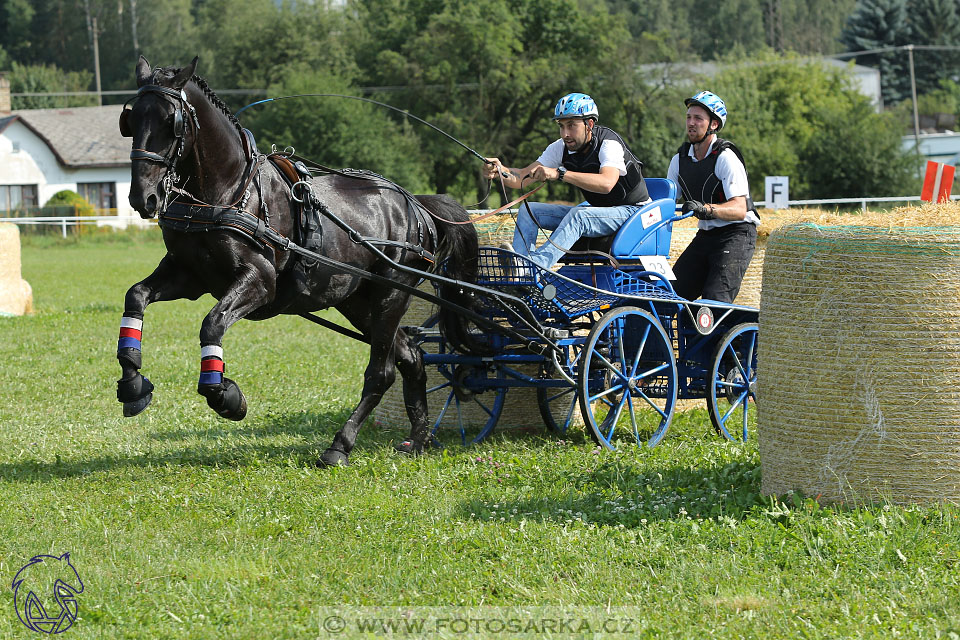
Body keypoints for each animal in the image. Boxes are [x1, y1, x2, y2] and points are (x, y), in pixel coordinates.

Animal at [116, 57, 480, 468]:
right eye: (131, 119)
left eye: (170, 121)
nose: (142, 197)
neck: (228, 193)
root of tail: (415, 204)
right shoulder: (189, 275)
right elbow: (136, 296)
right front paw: (132, 383)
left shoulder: (259, 282)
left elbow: (212, 324)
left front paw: (225, 396)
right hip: (357, 301)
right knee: (411, 357)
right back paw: (417, 439)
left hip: (392, 294)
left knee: (381, 372)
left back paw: (339, 445)